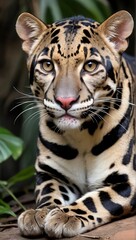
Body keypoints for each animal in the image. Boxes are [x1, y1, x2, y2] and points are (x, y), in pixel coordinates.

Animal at [16, 9, 136, 238]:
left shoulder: (130, 180)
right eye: (47, 65)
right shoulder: (50, 173)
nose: (65, 101)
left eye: (90, 66)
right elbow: (48, 192)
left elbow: (96, 199)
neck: (83, 134)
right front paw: (38, 213)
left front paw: (66, 216)